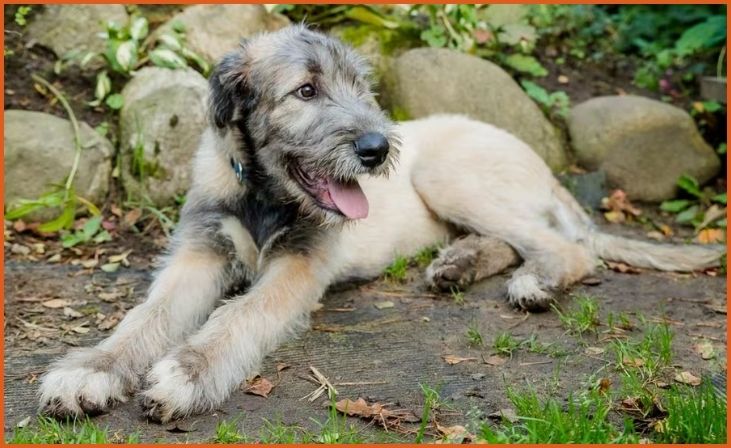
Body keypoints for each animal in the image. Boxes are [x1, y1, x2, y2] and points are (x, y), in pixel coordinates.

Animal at [40, 25, 728, 424]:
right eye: (307, 91)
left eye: (360, 87)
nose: (377, 148)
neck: (263, 192)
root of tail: (536, 157)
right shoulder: (199, 252)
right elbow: (147, 317)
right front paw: (91, 369)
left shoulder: (299, 265)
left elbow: (240, 315)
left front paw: (189, 373)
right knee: (511, 243)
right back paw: (457, 266)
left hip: (451, 176)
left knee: (569, 249)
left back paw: (535, 281)